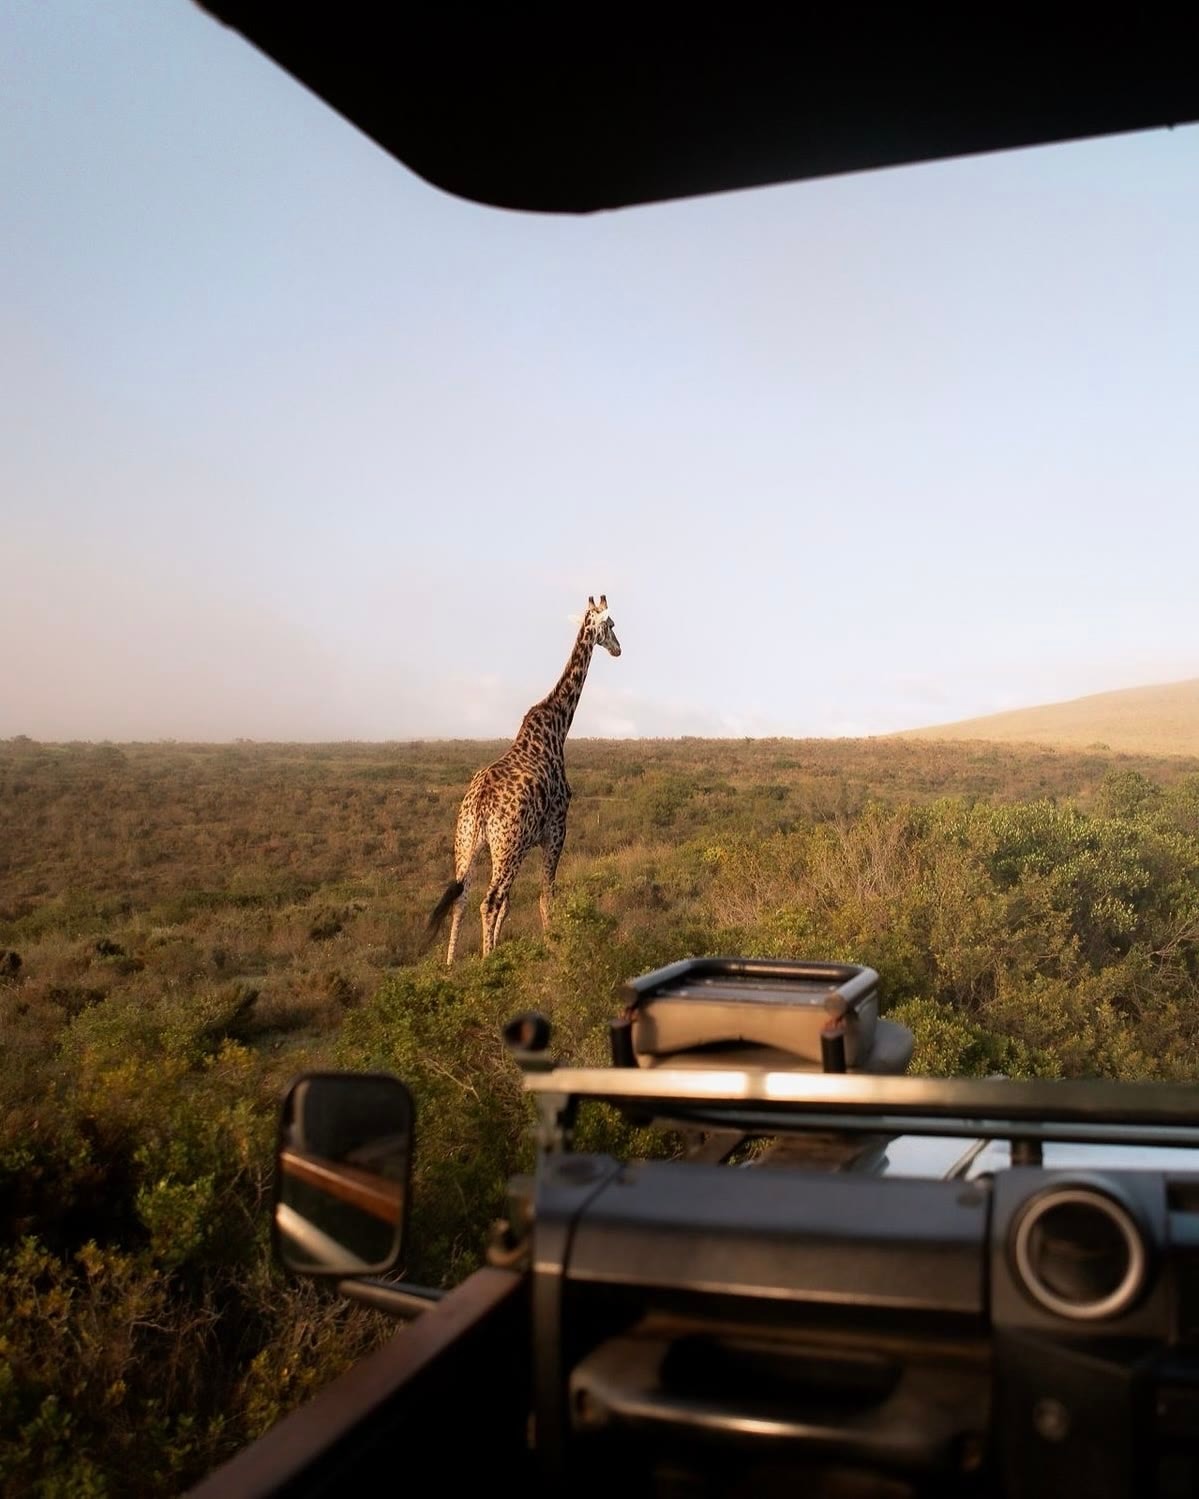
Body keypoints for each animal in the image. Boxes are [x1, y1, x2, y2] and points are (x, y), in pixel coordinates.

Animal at [426, 595, 622, 963]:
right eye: (612, 624)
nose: (619, 649)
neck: (558, 725)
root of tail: (480, 803)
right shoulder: (556, 828)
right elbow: (546, 894)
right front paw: (554, 944)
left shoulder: (528, 841)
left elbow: (512, 903)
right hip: (507, 845)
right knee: (489, 901)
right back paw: (487, 962)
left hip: (470, 842)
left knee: (462, 897)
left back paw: (451, 965)